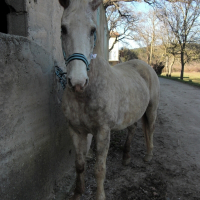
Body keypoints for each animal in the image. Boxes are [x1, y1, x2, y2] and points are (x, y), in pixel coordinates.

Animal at [57, 0, 159, 199]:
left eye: (92, 30)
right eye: (63, 28)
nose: (78, 82)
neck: (85, 95)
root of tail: (145, 65)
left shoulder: (103, 131)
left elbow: (99, 170)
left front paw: (99, 196)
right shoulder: (76, 130)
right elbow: (79, 165)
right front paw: (78, 193)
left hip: (151, 109)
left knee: (149, 130)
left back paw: (149, 155)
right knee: (132, 129)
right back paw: (126, 157)